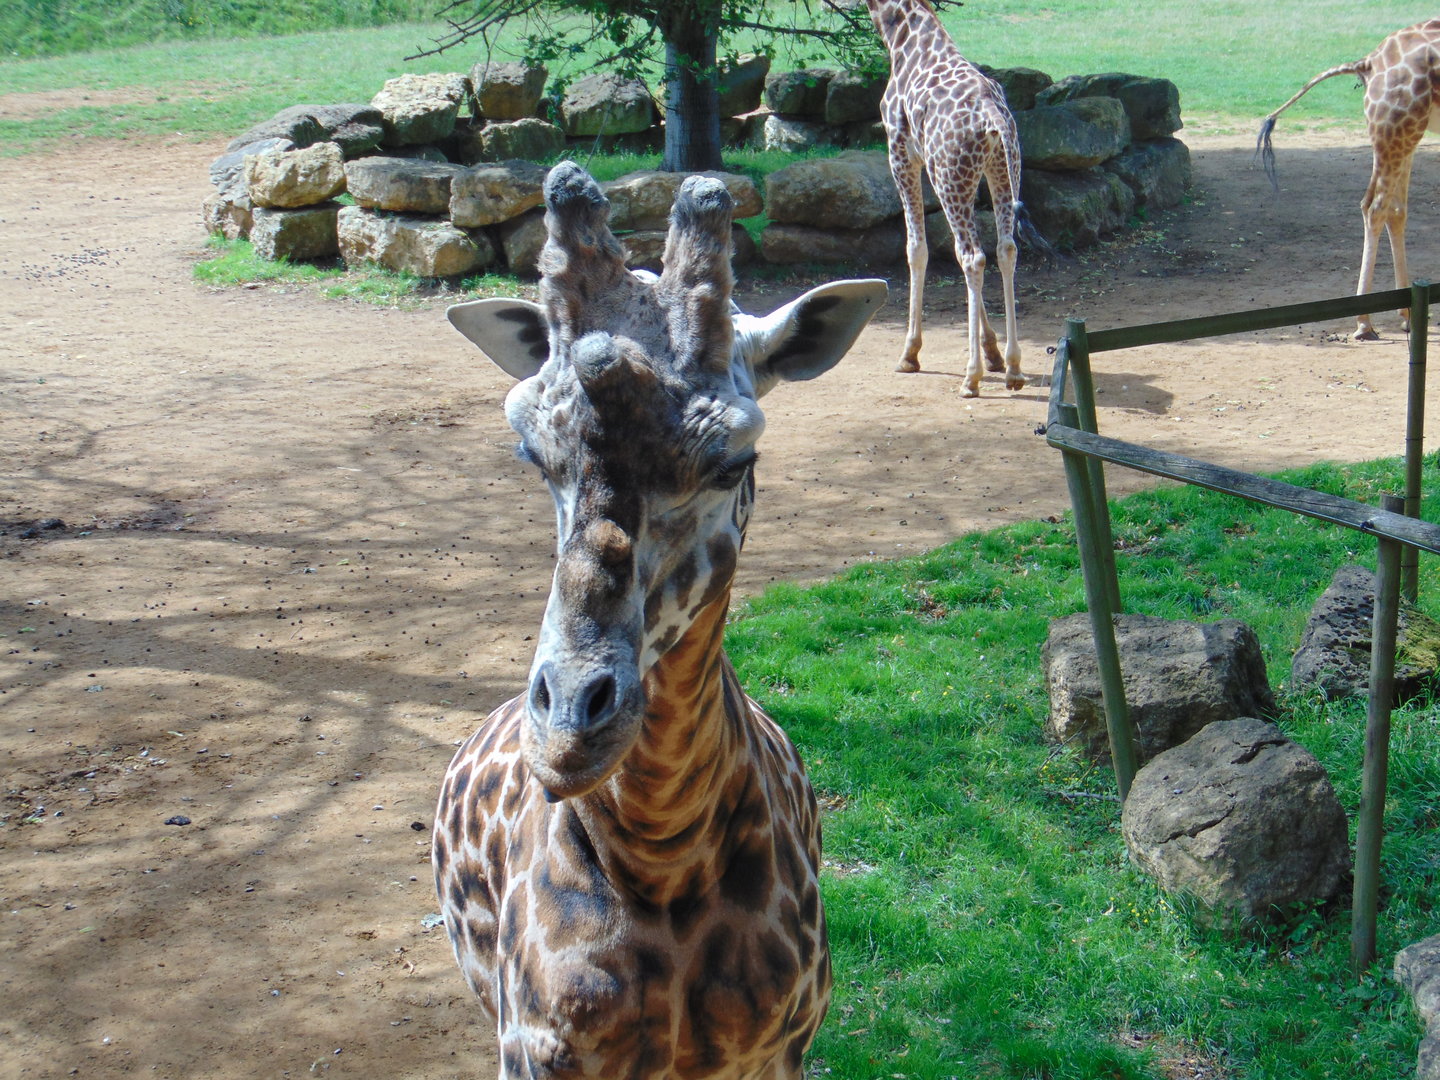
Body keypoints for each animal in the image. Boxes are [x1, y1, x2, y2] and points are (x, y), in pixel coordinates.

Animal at [432, 161, 886, 1079]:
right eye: (531, 452)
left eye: (735, 460)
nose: (568, 731)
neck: (663, 856)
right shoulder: (531, 1052)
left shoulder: (783, 1049)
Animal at [864, 0, 1051, 397]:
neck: (900, 34)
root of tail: (993, 116)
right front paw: (993, 353)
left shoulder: (901, 153)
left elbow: (916, 248)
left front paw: (909, 354)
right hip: (999, 170)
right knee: (1004, 250)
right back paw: (1013, 368)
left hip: (951, 176)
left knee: (972, 257)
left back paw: (971, 377)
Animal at [1258, 19, 1440, 340]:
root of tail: (1369, 62)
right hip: (1399, 125)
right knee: (1375, 206)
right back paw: (1365, 323)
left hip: (1405, 128)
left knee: (1393, 209)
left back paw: (1406, 315)